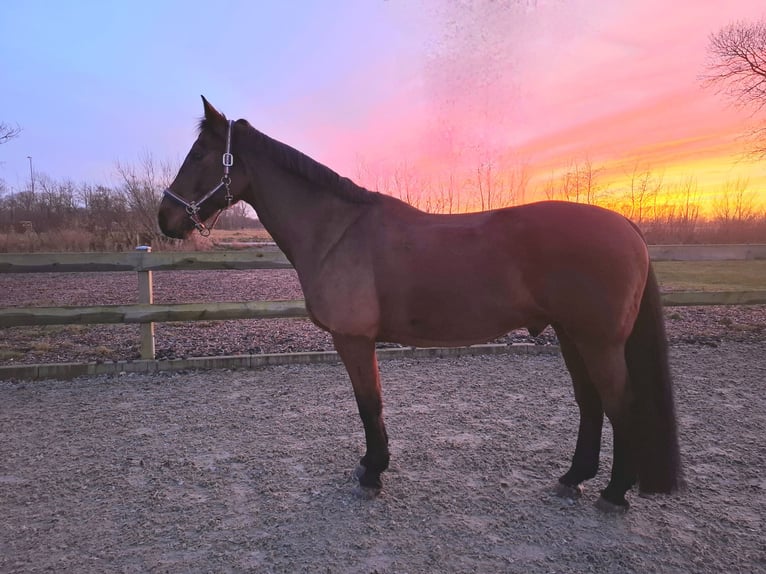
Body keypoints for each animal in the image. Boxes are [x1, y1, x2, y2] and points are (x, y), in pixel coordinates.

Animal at [158, 97, 682, 512]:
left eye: (200, 153)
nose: (165, 218)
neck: (338, 231)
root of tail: (627, 226)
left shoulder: (354, 339)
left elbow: (368, 404)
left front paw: (372, 473)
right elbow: (371, 405)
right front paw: (370, 465)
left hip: (598, 343)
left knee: (619, 403)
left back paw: (614, 493)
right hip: (572, 336)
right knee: (589, 402)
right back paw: (573, 478)